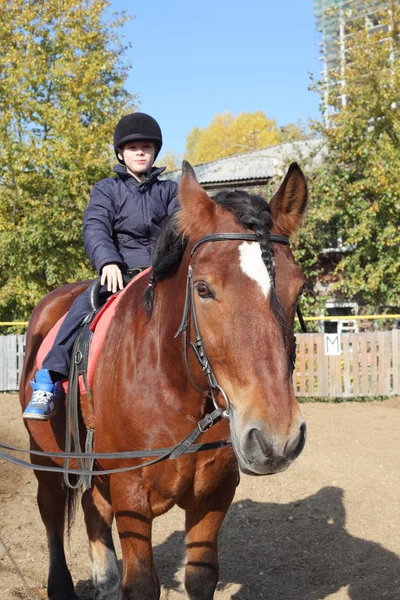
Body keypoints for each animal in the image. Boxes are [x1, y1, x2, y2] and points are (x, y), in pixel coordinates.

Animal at [19, 162, 310, 596]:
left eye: (299, 288)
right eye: (203, 289)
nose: (277, 438)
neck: (173, 387)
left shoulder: (215, 496)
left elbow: (201, 577)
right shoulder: (131, 496)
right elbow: (141, 584)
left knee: (93, 511)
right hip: (46, 459)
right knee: (52, 512)